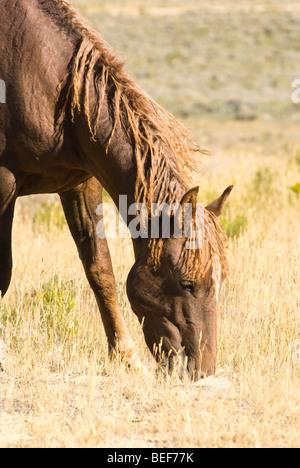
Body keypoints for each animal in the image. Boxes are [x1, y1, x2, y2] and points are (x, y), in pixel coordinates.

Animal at [0, 0, 232, 378]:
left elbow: (101, 271)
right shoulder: (4, 182)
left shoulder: (81, 184)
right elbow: (4, 271)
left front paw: (126, 357)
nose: (201, 372)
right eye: (187, 283)